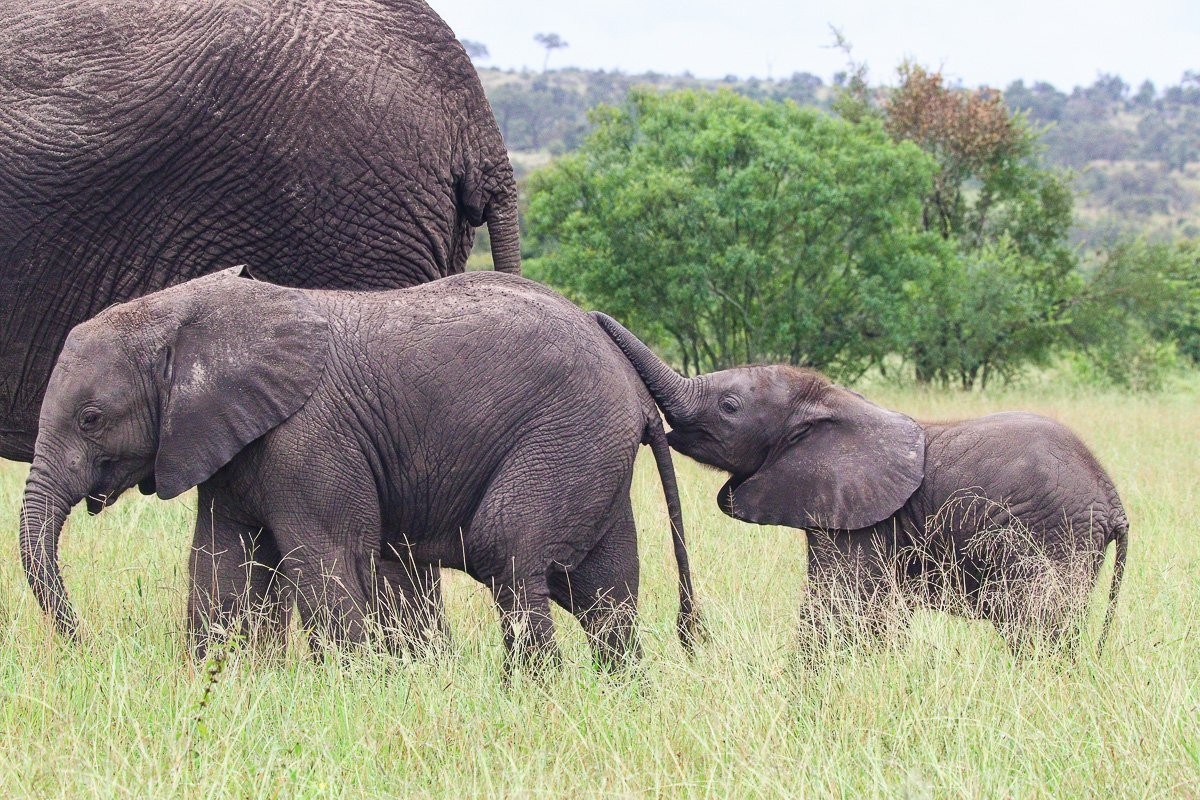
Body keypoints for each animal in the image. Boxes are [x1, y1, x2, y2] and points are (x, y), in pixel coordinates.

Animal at [19, 269, 701, 671]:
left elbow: (327, 557)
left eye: (90, 418)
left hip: (569, 432)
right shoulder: (227, 442)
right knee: (605, 589)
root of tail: (634, 383)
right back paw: (622, 693)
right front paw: (219, 678)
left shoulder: (311, 437)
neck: (185, 312)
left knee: (509, 549)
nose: (84, 647)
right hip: (591, 450)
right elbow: (220, 564)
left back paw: (535, 695)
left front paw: (351, 686)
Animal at [593, 313, 1129, 655]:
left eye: (729, 407)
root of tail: (1113, 500)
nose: (595, 315)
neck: (829, 399)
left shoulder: (862, 521)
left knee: (1037, 628)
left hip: (1054, 537)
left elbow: (837, 605)